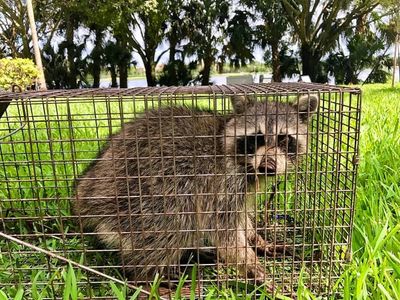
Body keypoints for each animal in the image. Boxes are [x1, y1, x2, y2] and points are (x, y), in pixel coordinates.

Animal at [73, 92, 318, 288]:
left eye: (284, 139)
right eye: (255, 139)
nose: (267, 167)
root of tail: (84, 192)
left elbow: (242, 219)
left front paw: (258, 241)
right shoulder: (221, 182)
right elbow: (225, 231)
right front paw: (250, 265)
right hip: (142, 194)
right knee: (171, 224)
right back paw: (145, 274)